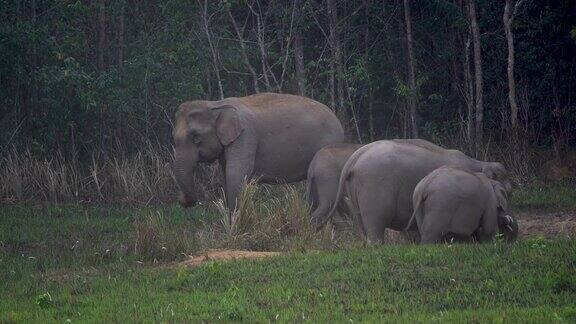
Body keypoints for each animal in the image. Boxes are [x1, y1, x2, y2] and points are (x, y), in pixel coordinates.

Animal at [171, 92, 342, 211]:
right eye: (173, 137)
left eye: (195, 137)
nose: (180, 199)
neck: (216, 105)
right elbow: (226, 176)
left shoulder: (245, 136)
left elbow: (236, 175)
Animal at [328, 139, 512, 243]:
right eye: (509, 193)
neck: (477, 163)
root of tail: (354, 157)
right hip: (373, 188)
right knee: (375, 223)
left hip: (355, 190)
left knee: (361, 223)